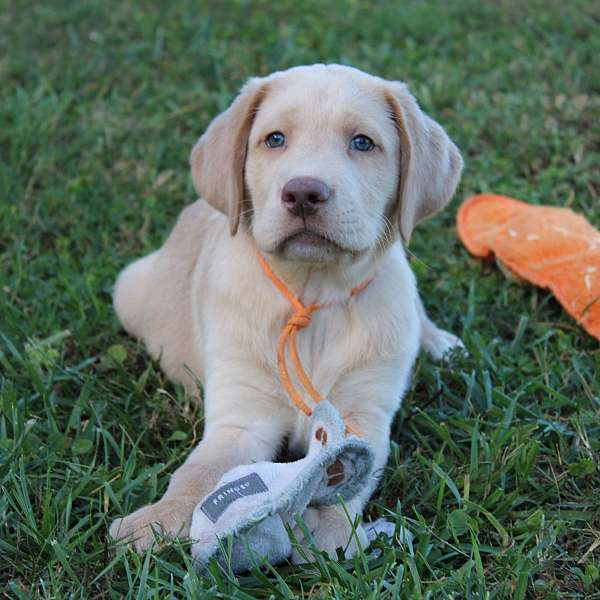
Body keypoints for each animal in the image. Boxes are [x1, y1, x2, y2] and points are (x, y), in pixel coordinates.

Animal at [109, 64, 464, 556]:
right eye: (274, 139)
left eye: (362, 143)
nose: (304, 193)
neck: (314, 297)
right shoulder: (241, 417)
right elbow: (200, 473)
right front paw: (156, 523)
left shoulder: (363, 413)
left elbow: (348, 475)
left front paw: (331, 534)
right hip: (128, 289)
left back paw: (437, 342)